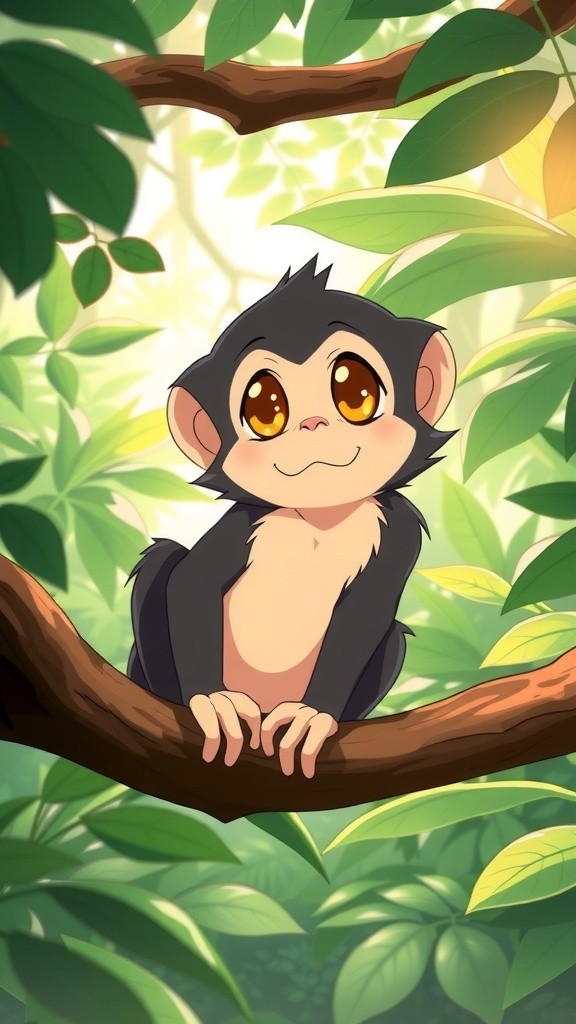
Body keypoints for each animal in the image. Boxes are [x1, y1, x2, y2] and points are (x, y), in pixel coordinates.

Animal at [126, 256, 456, 778]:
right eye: (265, 407)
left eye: (356, 391)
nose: (312, 423)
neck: (320, 514)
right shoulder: (245, 521)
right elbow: (192, 581)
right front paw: (212, 701)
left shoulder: (400, 530)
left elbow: (368, 612)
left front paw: (313, 717)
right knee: (163, 561)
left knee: (393, 637)